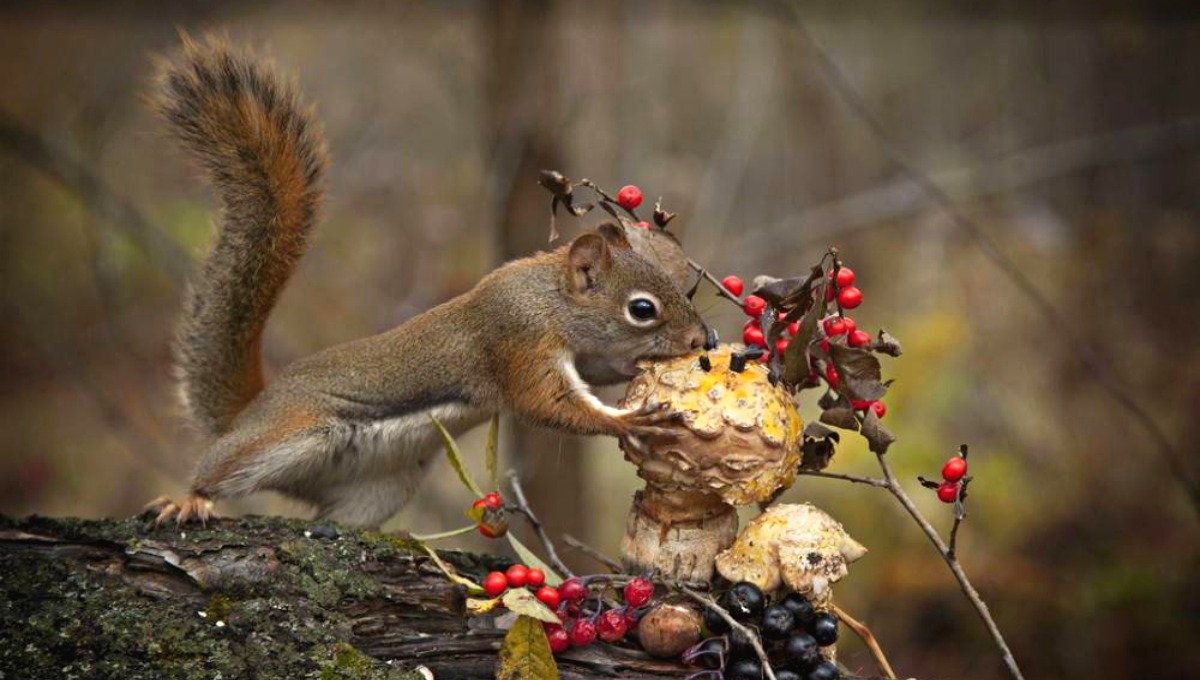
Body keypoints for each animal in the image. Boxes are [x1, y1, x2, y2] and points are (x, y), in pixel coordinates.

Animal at [147, 34, 710, 530]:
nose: (701, 340)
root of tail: (248, 412)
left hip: (380, 486)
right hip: (283, 435)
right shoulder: (517, 338)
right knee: (217, 470)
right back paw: (189, 499)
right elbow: (546, 403)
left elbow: (596, 372)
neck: (550, 298)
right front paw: (627, 421)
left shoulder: (581, 354)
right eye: (642, 309)